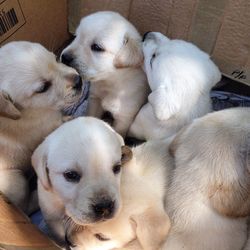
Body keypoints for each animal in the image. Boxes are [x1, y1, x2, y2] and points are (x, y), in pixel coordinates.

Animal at [0, 41, 82, 213]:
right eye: (43, 88)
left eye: (55, 59)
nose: (79, 80)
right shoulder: (47, 126)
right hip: (15, 179)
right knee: (24, 207)